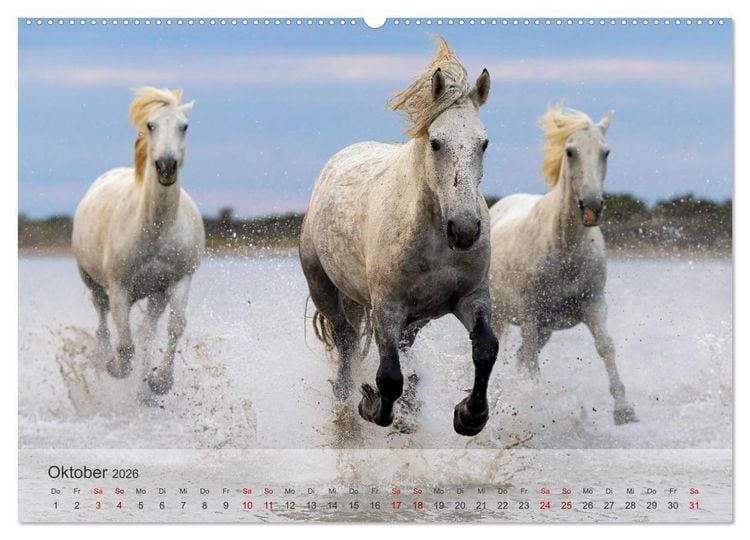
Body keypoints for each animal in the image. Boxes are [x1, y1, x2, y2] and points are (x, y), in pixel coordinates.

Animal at [72, 87, 205, 395]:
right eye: (150, 125)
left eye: (184, 126)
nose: (166, 166)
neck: (155, 230)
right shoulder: (119, 285)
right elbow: (125, 341)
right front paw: (115, 367)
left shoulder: (180, 280)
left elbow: (174, 327)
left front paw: (159, 383)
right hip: (92, 280)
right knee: (103, 315)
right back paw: (102, 355)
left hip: (156, 293)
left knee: (147, 331)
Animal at [300, 37, 499, 437]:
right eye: (436, 143)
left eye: (483, 143)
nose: (465, 230)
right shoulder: (387, 306)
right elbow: (389, 376)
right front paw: (370, 404)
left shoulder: (471, 296)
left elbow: (485, 349)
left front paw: (470, 416)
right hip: (324, 287)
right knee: (346, 341)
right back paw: (347, 402)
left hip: (417, 316)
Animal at [488, 104, 637, 424]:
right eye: (570, 151)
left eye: (606, 151)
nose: (592, 206)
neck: (565, 249)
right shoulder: (530, 315)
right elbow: (532, 363)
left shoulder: (593, 304)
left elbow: (606, 347)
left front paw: (624, 410)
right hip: (502, 316)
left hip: (546, 328)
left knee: (519, 357)